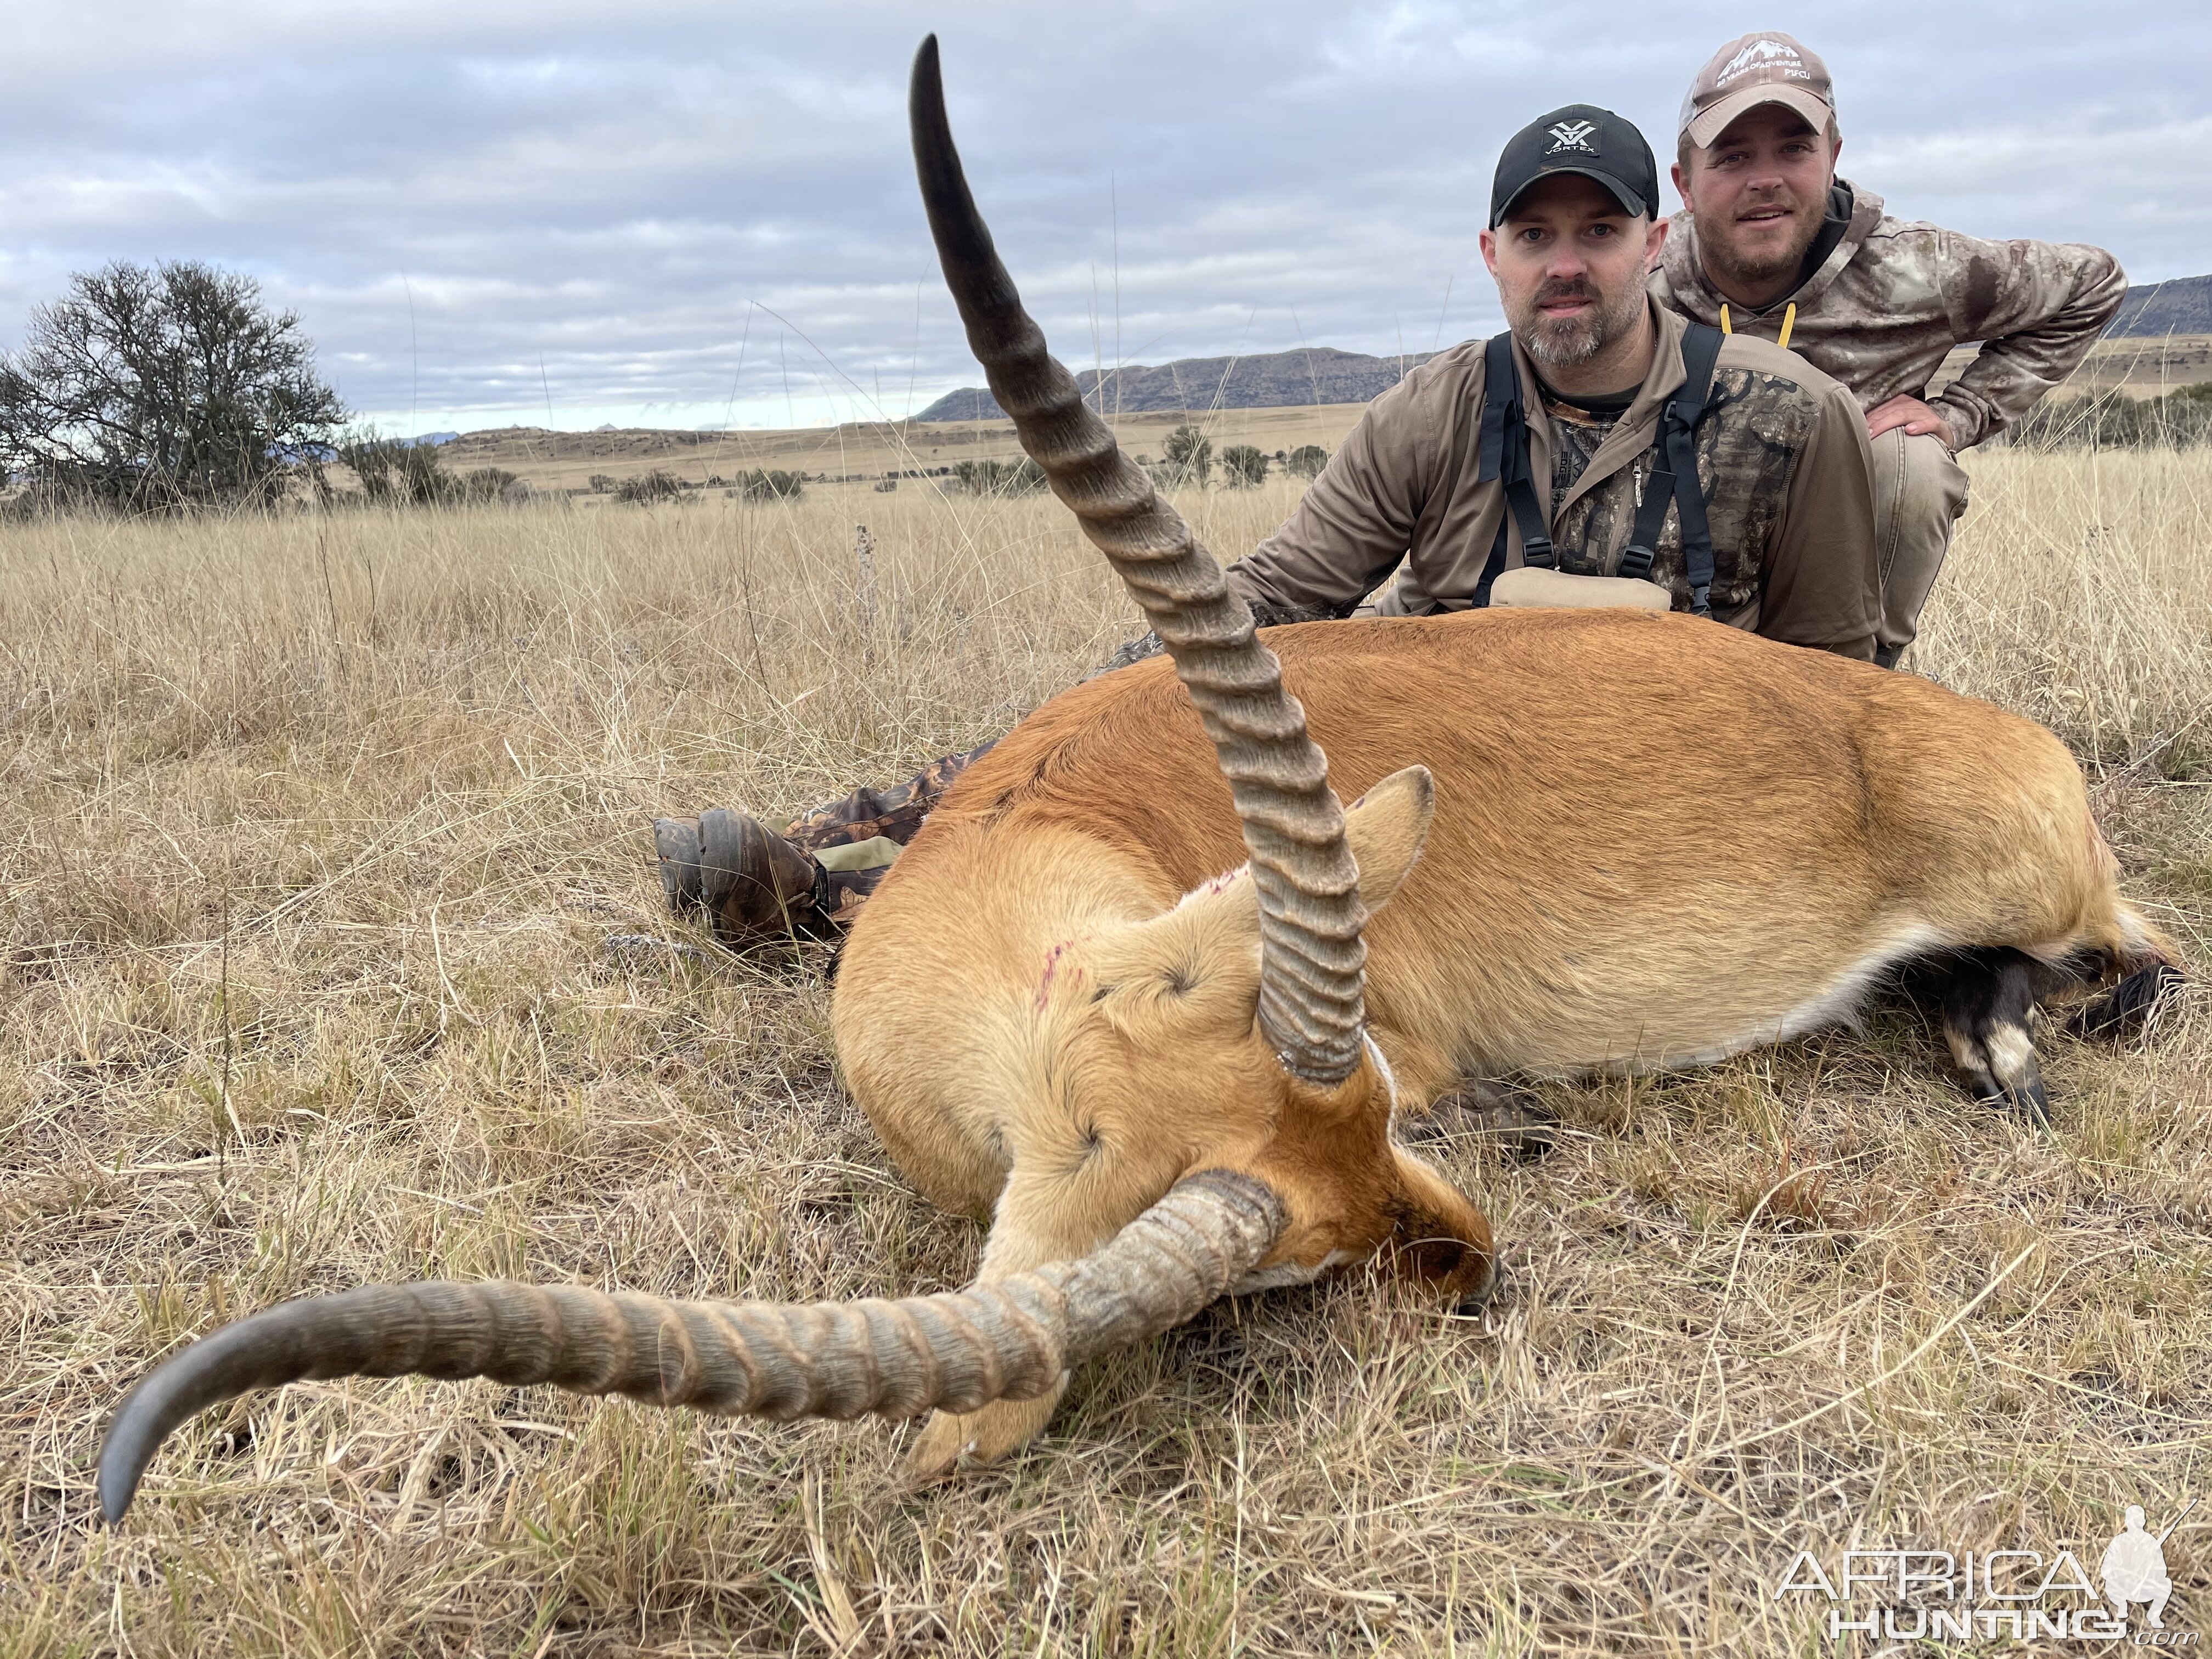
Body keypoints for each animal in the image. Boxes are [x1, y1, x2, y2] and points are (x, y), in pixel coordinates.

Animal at [99, 39, 2176, 1522]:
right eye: (1284, 1271)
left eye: (1391, 1104)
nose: (1473, 1267)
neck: (1027, 827)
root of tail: (1987, 737)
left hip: (2054, 887)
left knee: (2135, 958)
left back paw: (2014, 1035)